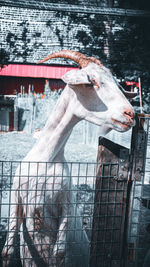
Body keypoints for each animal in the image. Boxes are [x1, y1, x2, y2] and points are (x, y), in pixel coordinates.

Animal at [1, 50, 135, 267]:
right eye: (92, 82)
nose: (130, 114)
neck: (45, 160)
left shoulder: (67, 205)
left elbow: (59, 253)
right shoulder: (16, 199)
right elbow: (7, 250)